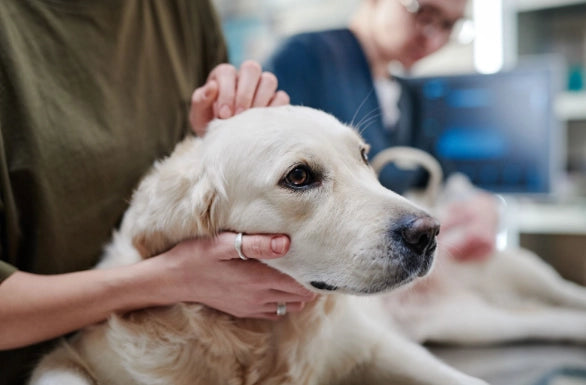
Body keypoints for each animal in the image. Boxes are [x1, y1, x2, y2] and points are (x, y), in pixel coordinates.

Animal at [29, 106, 584, 384]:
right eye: (299, 176)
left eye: (364, 156)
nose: (429, 233)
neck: (257, 338)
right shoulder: (69, 355)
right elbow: (61, 375)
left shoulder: (383, 348)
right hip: (478, 321)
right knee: (551, 320)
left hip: (515, 284)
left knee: (564, 298)